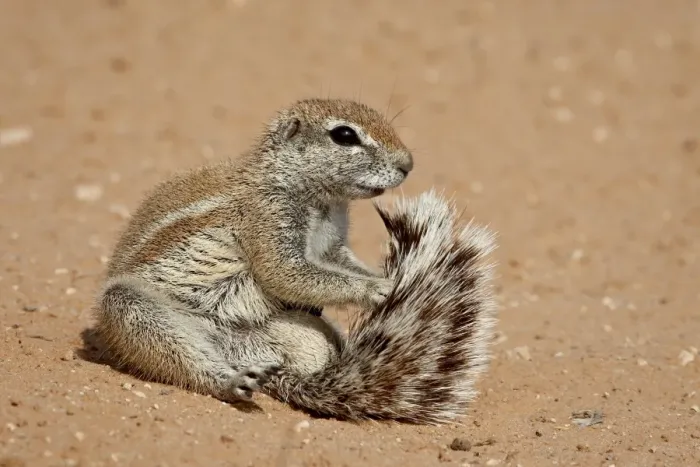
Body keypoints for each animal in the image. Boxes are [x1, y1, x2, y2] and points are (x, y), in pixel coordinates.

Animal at [95, 98, 498, 424]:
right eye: (344, 135)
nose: (408, 164)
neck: (320, 200)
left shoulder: (332, 246)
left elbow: (334, 266)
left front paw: (380, 278)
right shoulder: (267, 218)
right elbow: (287, 273)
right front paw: (377, 288)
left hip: (294, 337)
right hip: (131, 309)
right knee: (184, 358)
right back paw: (230, 381)